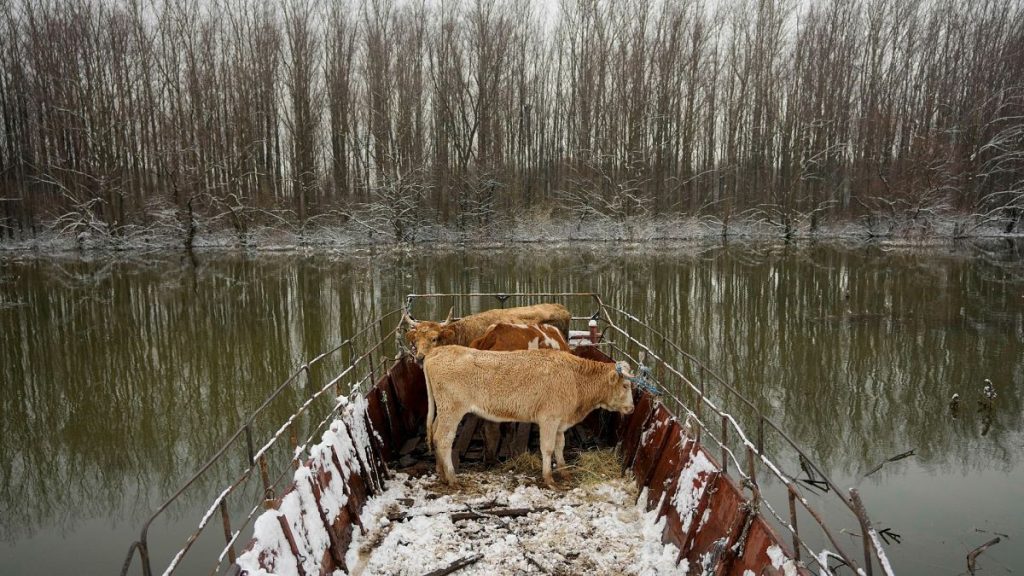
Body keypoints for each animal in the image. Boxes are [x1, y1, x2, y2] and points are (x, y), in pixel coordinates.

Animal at [422, 347, 636, 488]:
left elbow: (560, 446)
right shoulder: (549, 419)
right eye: (625, 386)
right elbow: (547, 448)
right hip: (452, 411)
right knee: (444, 440)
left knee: (435, 435)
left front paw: (564, 472)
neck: (574, 378)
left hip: (442, 411)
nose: (632, 408)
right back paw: (452, 479)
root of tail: (438, 350)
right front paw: (549, 479)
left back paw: (441, 474)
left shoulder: (560, 422)